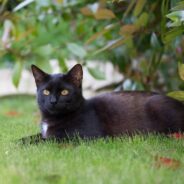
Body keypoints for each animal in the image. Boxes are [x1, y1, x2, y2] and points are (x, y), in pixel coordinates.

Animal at [28, 63, 183, 141]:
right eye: (46, 92)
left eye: (64, 92)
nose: (53, 101)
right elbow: (33, 137)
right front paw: (22, 142)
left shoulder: (83, 136)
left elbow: (47, 140)